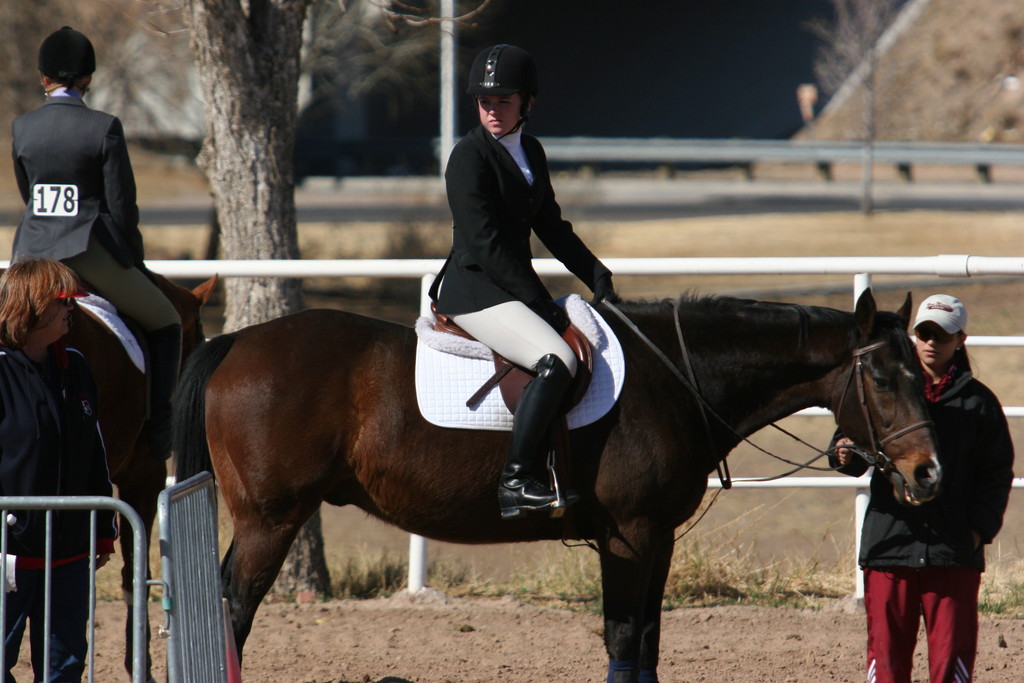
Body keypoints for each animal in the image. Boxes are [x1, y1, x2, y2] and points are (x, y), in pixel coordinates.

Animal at [172, 290, 937, 683]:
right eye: (881, 377)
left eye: (920, 371)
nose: (927, 472)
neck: (674, 375)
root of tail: (237, 343)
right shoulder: (628, 536)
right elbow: (623, 637)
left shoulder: (656, 540)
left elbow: (648, 640)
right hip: (270, 520)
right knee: (232, 608)